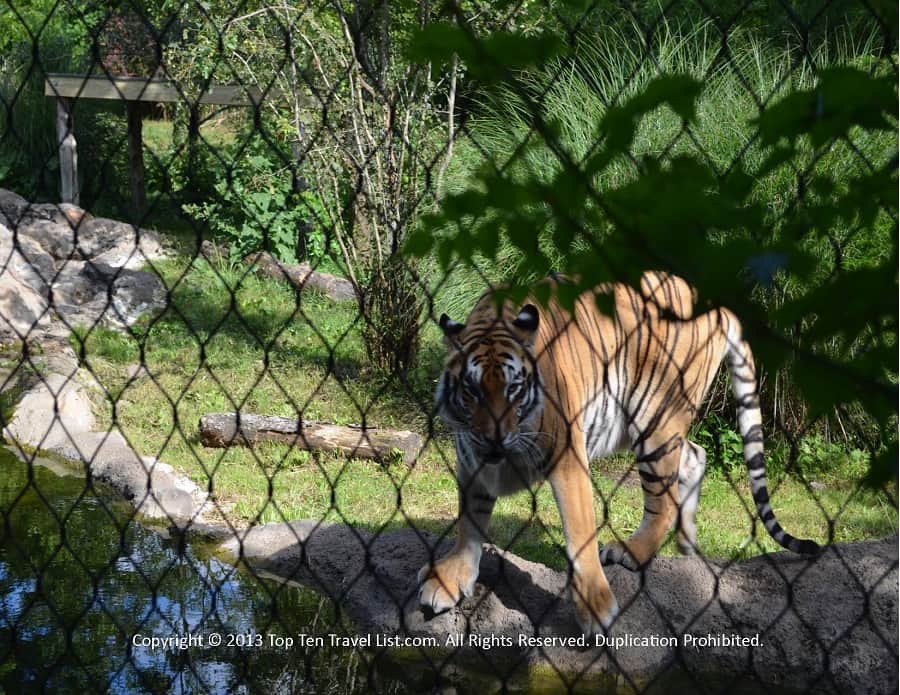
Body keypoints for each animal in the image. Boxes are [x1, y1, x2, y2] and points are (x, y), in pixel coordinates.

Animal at [418, 272, 820, 634]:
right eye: (471, 391)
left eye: (514, 389)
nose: (495, 439)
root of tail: (713, 303)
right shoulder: (472, 458)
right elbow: (469, 522)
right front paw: (449, 578)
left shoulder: (567, 456)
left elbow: (580, 533)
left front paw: (596, 607)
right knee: (694, 454)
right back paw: (686, 543)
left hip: (655, 418)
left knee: (664, 497)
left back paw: (633, 550)